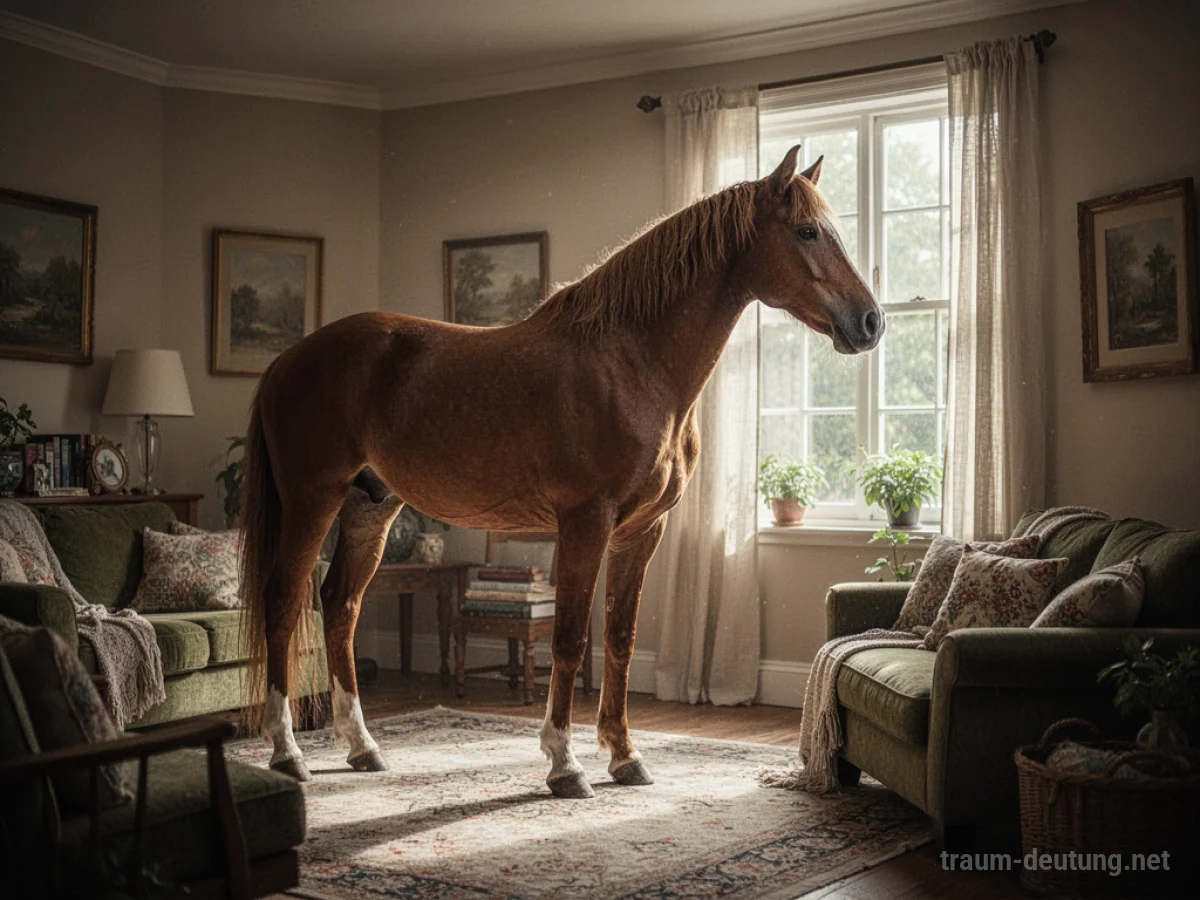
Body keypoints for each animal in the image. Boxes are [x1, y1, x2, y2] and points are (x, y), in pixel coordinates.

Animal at [239, 145, 883, 798]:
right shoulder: (585, 521)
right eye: (806, 231)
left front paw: (624, 757)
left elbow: (619, 639)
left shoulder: (641, 530)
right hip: (312, 500)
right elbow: (570, 639)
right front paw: (565, 764)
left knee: (339, 606)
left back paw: (362, 746)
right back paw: (287, 753)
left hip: (370, 508)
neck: (631, 364)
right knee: (284, 603)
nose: (870, 322)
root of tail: (285, 361)